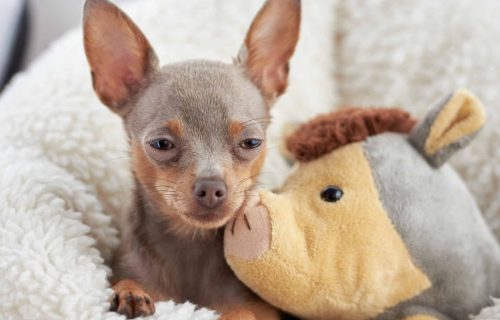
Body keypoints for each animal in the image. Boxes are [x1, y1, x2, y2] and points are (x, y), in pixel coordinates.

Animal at [83, 0, 298, 318]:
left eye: (251, 143)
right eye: (161, 144)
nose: (211, 188)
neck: (191, 240)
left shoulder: (258, 308)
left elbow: (240, 312)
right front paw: (129, 291)